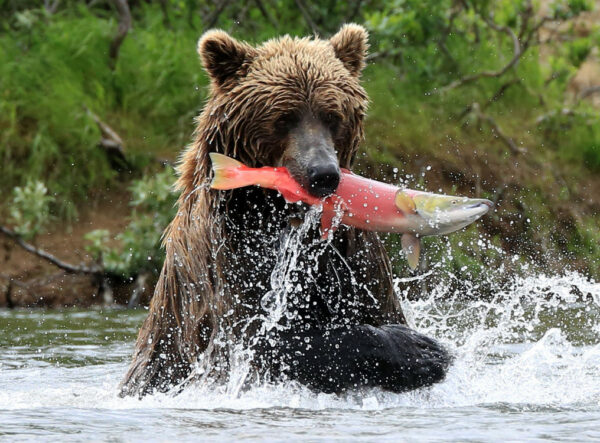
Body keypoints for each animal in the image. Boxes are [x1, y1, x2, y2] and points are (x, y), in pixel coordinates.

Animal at [119, 24, 450, 398]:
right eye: (283, 118)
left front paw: (425, 349)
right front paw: (420, 350)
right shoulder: (229, 257)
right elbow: (266, 342)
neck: (278, 213)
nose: (323, 174)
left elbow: (377, 303)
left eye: (332, 116)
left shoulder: (351, 253)